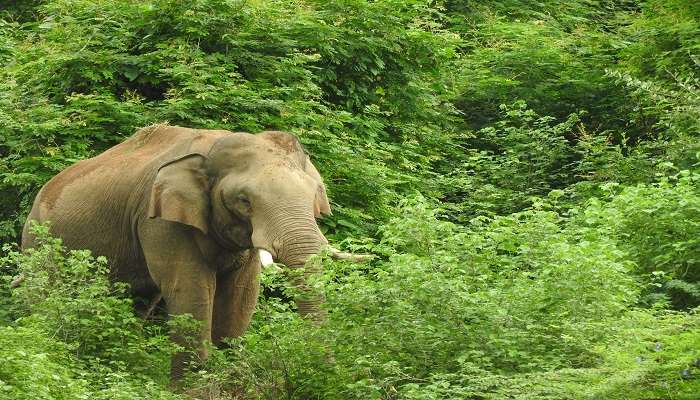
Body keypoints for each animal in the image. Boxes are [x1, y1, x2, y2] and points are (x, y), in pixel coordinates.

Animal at [21, 123, 340, 380]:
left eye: (315, 193)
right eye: (243, 200)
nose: (325, 372)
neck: (212, 147)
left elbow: (241, 293)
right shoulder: (159, 218)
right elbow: (190, 289)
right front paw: (193, 388)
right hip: (37, 243)